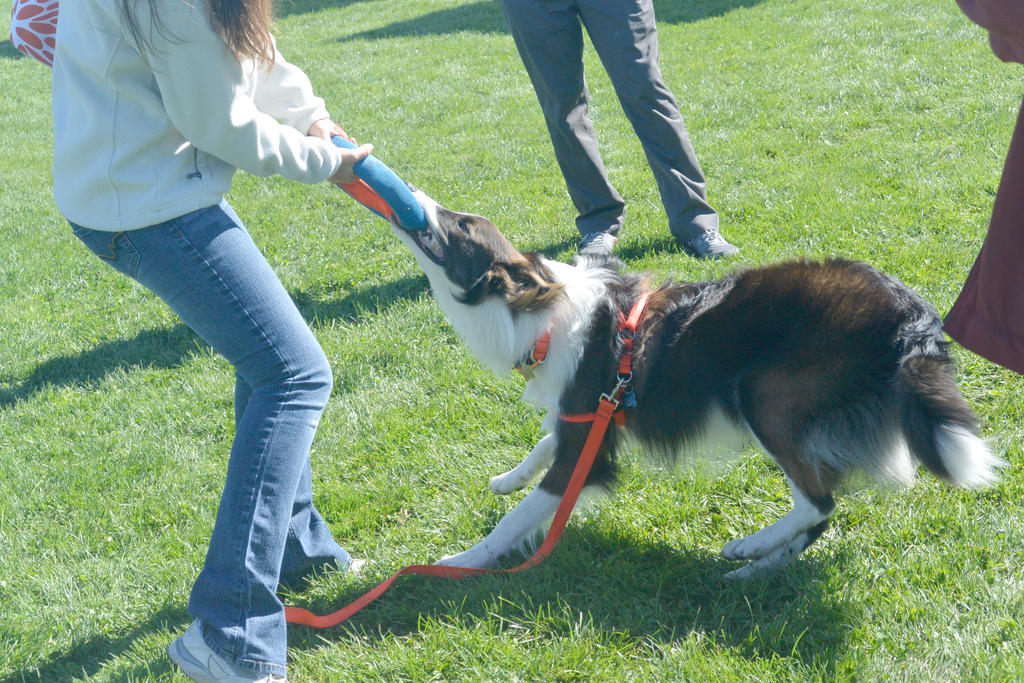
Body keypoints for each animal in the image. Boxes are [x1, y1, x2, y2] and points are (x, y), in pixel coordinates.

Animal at [389, 192, 999, 577]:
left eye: (461, 226)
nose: (411, 196)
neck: (534, 309)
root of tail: (913, 319)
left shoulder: (586, 444)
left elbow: (519, 518)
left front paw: (457, 564)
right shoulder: (588, 415)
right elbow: (545, 442)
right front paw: (508, 477)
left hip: (767, 395)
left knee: (817, 500)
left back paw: (750, 545)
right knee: (822, 510)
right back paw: (760, 567)